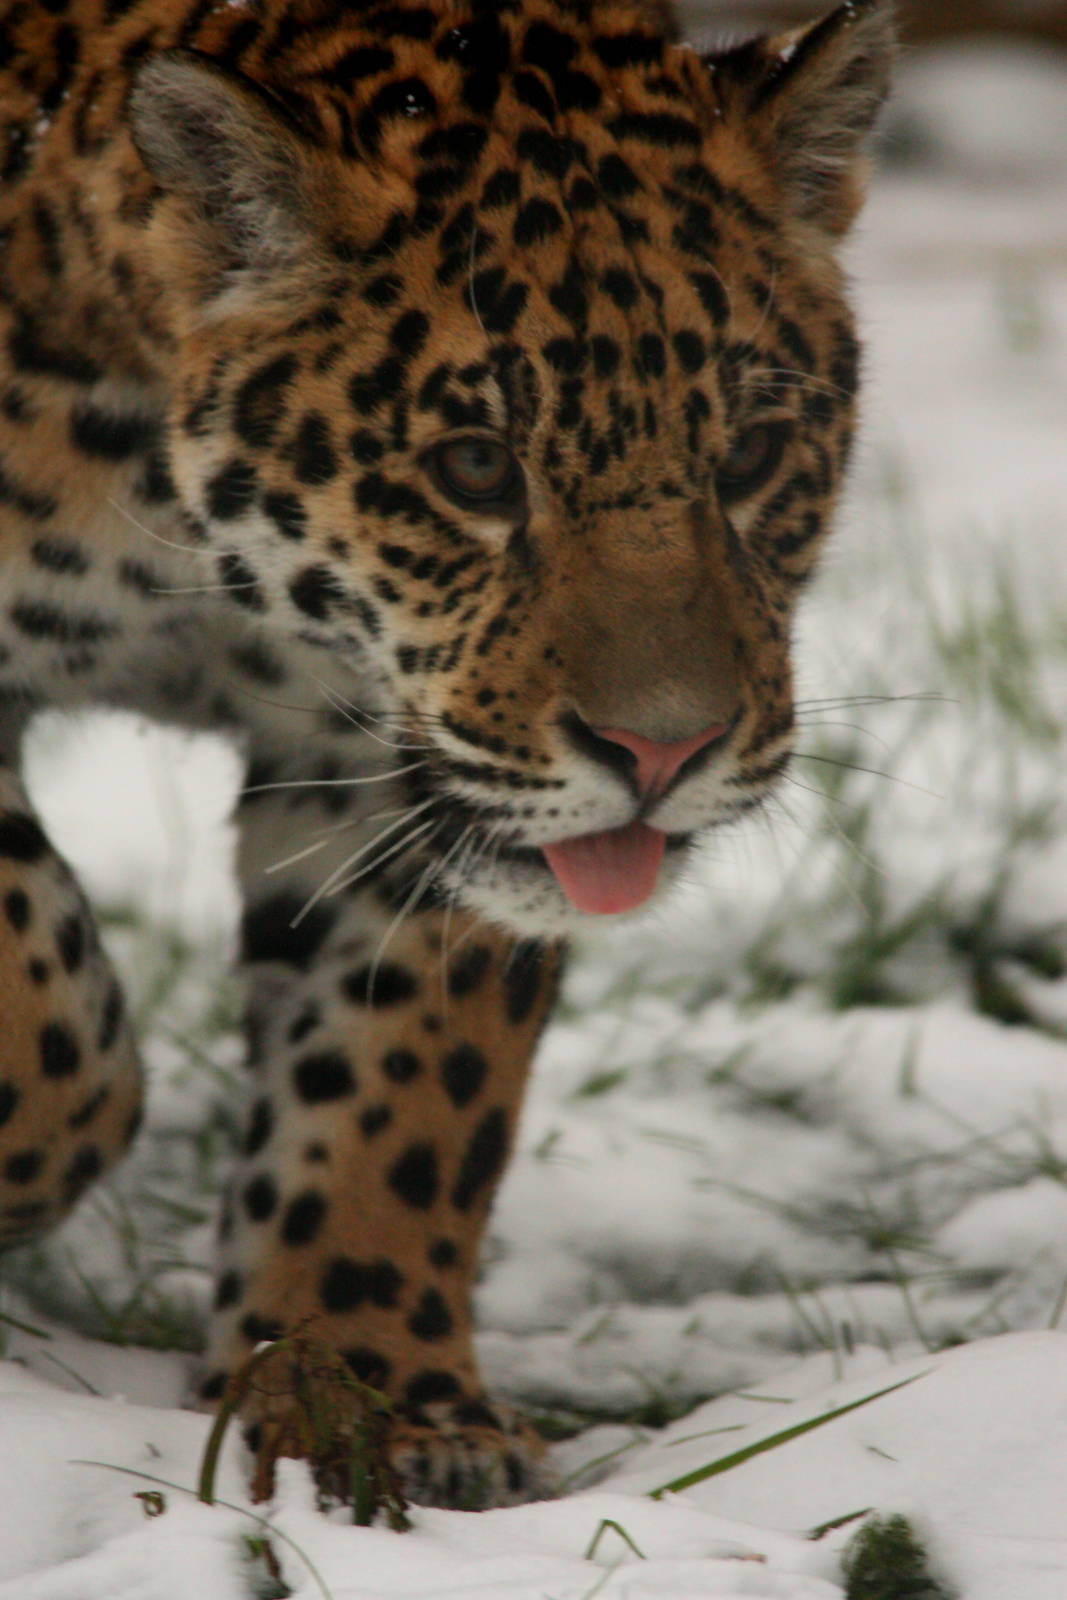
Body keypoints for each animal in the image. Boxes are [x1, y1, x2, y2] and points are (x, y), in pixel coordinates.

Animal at [0, 0, 893, 1510]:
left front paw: (364, 1396)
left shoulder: (403, 779)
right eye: (474, 468)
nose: (662, 749)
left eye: (751, 456)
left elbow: (404, 1077)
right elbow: (53, 1031)